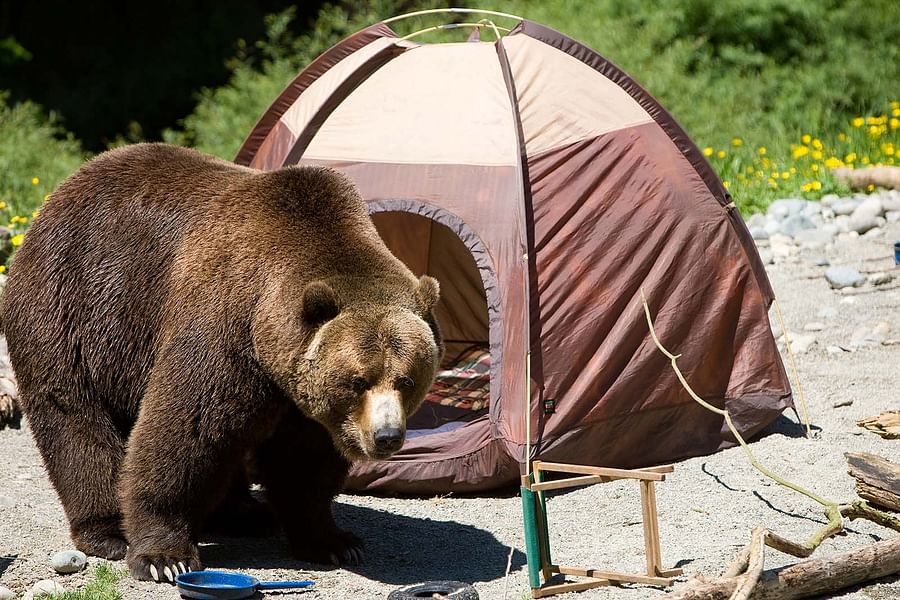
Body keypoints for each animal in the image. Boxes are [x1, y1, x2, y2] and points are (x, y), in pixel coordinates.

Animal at [1, 143, 443, 582]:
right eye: (358, 380)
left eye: (406, 380)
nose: (387, 436)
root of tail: (61, 193)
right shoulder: (226, 324)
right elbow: (187, 430)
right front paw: (164, 556)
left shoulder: (300, 393)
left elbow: (303, 461)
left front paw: (332, 540)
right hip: (74, 308)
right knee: (76, 419)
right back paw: (109, 530)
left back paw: (244, 514)